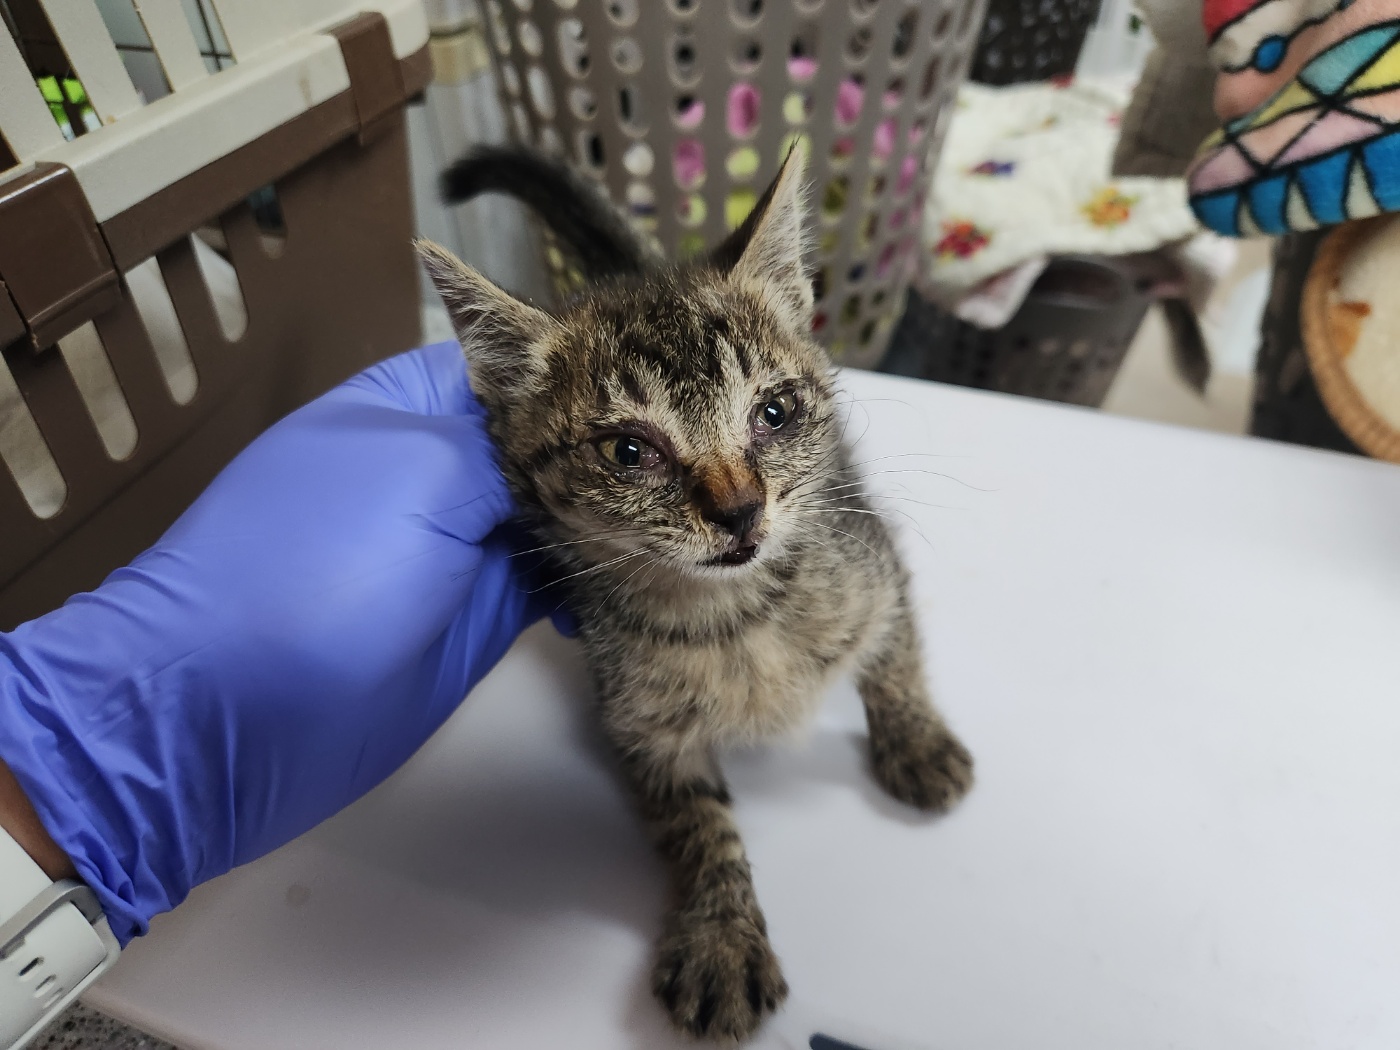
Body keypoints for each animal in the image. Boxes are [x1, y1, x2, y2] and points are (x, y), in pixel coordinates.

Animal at [414, 146, 968, 1047]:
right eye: (629, 451)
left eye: (773, 412)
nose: (740, 510)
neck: (735, 615)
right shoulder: (642, 724)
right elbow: (699, 823)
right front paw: (722, 938)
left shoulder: (872, 560)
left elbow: (896, 657)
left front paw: (916, 742)